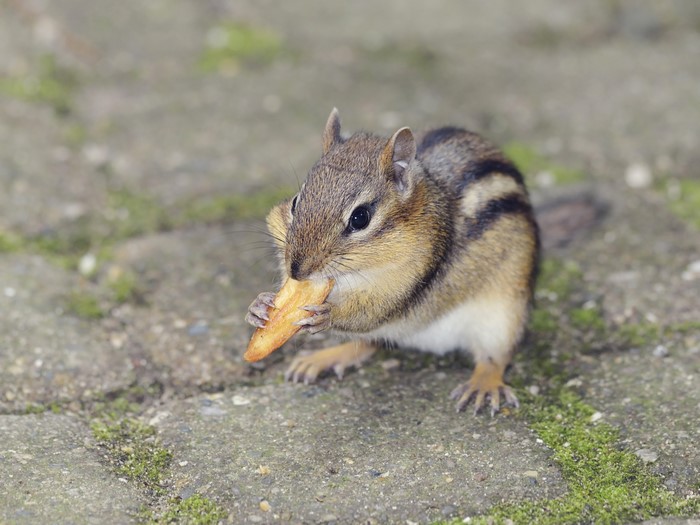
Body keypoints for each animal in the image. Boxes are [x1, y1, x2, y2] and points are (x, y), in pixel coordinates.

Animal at [246, 108, 540, 415]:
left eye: (360, 218)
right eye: (295, 202)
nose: (298, 271)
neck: (352, 276)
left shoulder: (411, 277)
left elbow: (374, 310)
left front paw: (328, 313)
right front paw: (259, 306)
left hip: (505, 314)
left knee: (494, 358)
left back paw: (484, 384)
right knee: (368, 344)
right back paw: (325, 357)